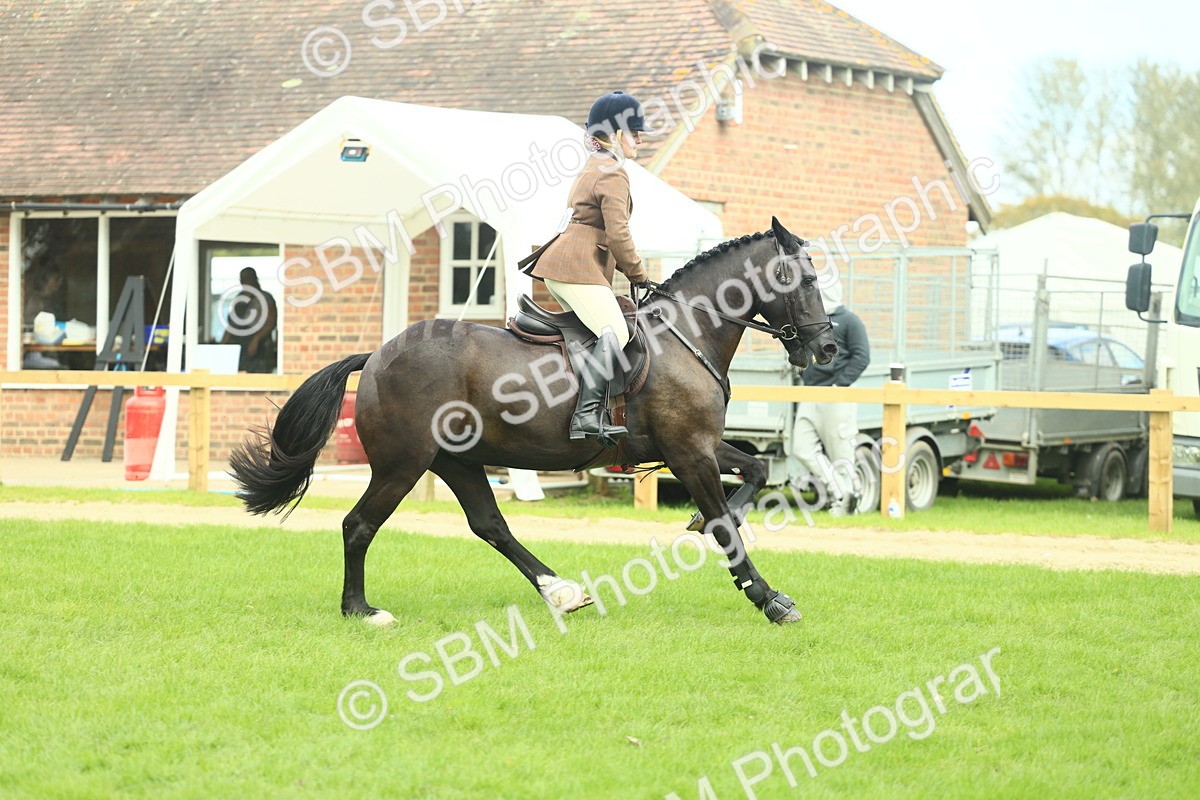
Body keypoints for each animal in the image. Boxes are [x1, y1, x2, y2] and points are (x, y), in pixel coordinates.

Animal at [229, 217, 838, 626]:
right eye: (808, 281)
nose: (829, 348)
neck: (685, 331)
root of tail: (376, 355)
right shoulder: (689, 451)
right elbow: (724, 528)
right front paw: (769, 599)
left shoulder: (699, 445)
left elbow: (755, 473)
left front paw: (715, 521)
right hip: (404, 464)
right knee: (359, 526)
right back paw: (361, 610)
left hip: (457, 461)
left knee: (491, 526)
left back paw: (561, 591)